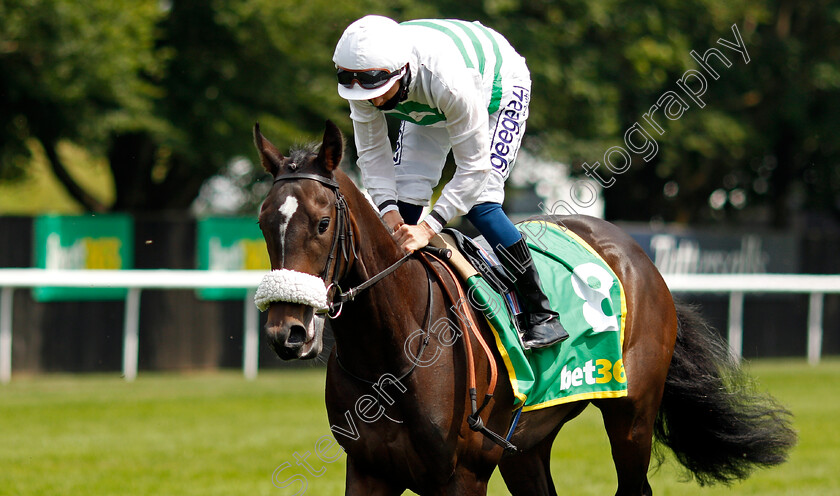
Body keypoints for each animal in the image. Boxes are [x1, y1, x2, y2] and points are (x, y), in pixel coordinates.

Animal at [253, 121, 796, 496]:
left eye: (323, 223)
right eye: (262, 223)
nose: (288, 333)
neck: (392, 353)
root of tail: (635, 253)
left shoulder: (462, 476)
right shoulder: (368, 470)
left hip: (633, 416)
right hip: (527, 444)